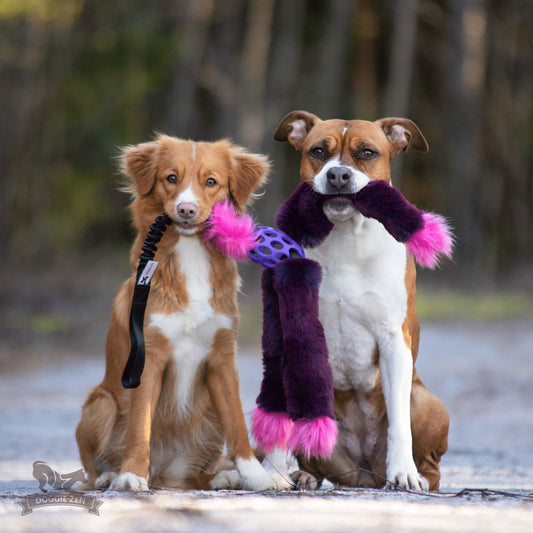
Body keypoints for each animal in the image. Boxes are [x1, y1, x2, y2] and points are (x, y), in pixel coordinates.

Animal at [75, 134, 288, 490]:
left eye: (211, 182)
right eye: (171, 178)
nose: (186, 209)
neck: (191, 254)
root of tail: (164, 474)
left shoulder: (222, 359)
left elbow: (238, 427)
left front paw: (256, 477)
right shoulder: (148, 358)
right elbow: (140, 426)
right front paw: (132, 475)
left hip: (208, 417)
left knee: (199, 473)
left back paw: (224, 477)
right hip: (100, 402)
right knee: (92, 469)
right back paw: (109, 476)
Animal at [268, 111, 446, 490]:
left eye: (367, 153)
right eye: (318, 151)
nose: (338, 174)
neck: (346, 238)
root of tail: (364, 473)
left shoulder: (393, 340)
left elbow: (399, 423)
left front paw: (403, 472)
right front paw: (270, 473)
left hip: (425, 400)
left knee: (431, 464)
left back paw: (418, 477)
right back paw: (305, 474)